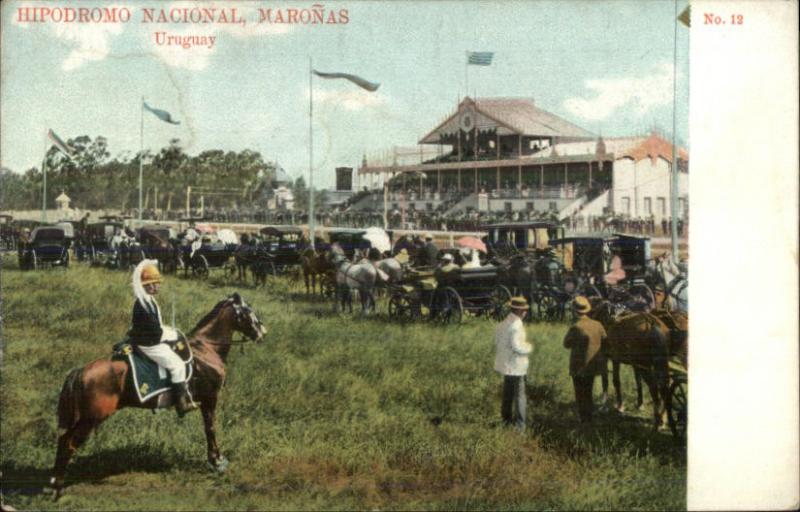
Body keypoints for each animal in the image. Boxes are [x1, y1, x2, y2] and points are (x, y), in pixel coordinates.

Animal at [50, 294, 268, 498]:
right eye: (248, 311)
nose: (262, 333)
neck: (206, 348)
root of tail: (81, 371)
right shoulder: (210, 398)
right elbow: (210, 429)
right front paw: (217, 461)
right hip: (90, 419)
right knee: (68, 444)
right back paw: (57, 487)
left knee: (63, 441)